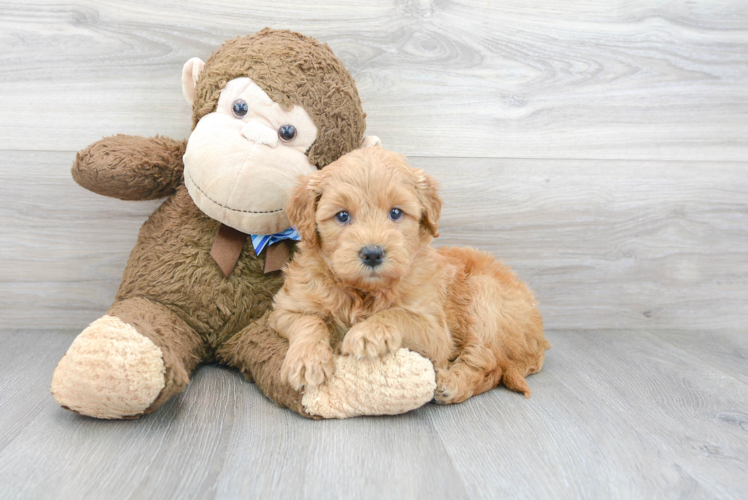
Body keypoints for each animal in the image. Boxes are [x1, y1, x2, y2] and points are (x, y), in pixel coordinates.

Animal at [268, 146, 548, 404]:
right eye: (343, 216)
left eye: (395, 213)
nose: (372, 253)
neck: (362, 293)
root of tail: (539, 338)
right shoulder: (286, 308)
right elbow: (309, 321)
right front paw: (306, 361)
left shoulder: (435, 330)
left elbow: (398, 314)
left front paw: (367, 333)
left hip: (485, 297)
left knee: (489, 363)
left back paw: (452, 384)